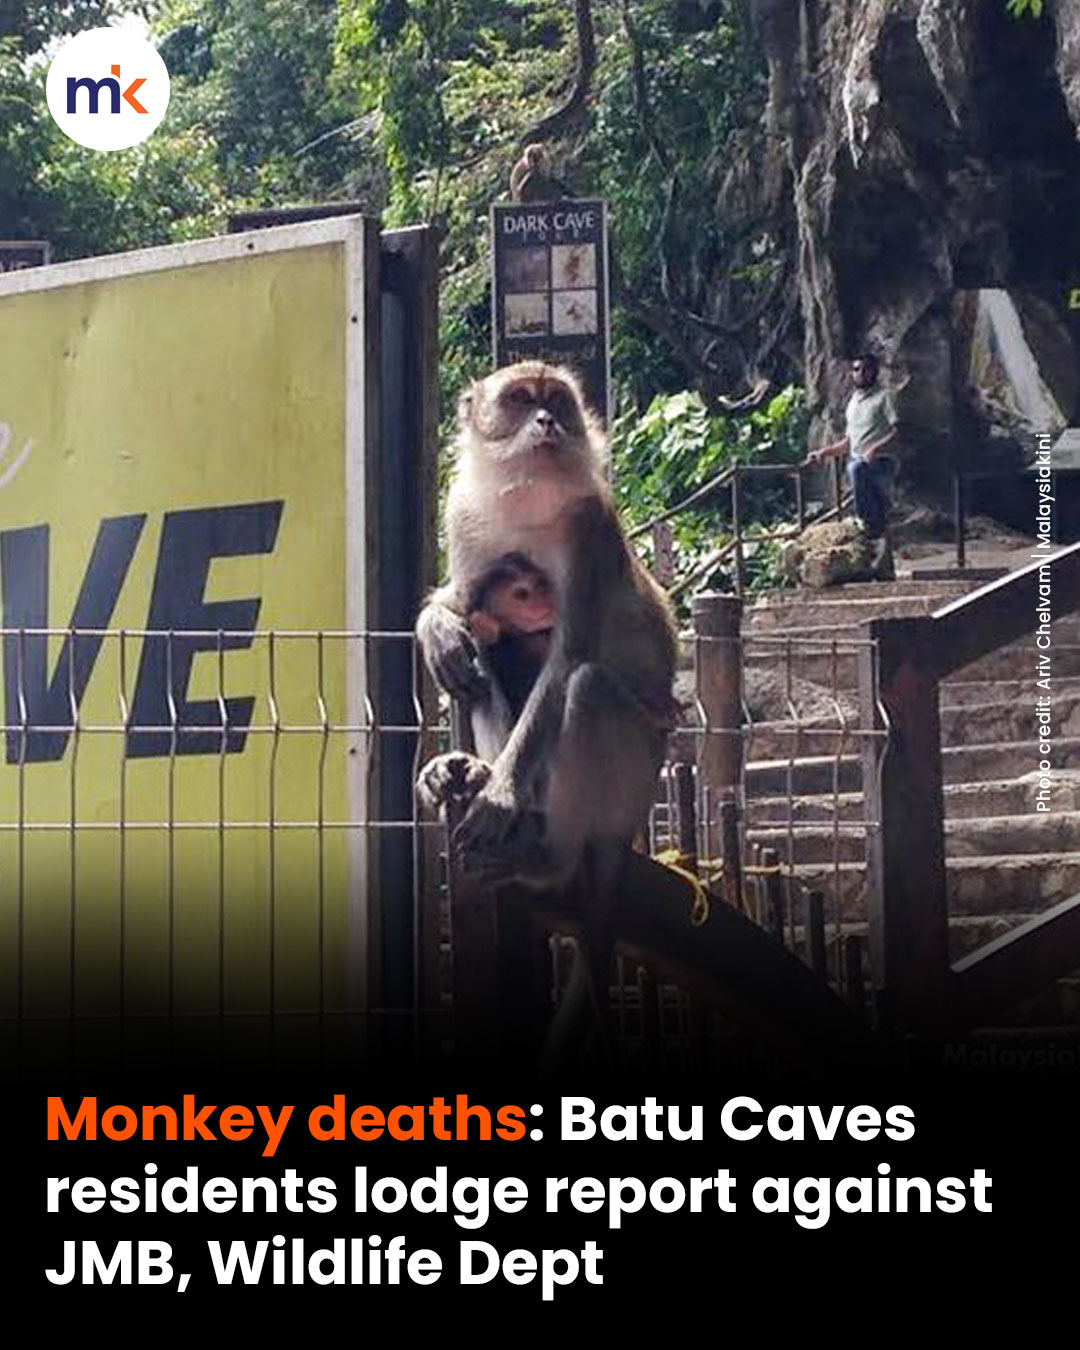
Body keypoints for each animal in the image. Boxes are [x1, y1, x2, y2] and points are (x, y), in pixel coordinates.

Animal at [415, 362, 678, 1063]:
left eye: (555, 399)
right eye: (518, 399)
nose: (546, 422)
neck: (523, 497)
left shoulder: (589, 530)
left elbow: (568, 658)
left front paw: (500, 794)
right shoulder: (463, 518)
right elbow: (462, 611)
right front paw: (437, 628)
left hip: (635, 773)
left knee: (587, 688)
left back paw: (547, 850)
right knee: (482, 654)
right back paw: (468, 769)